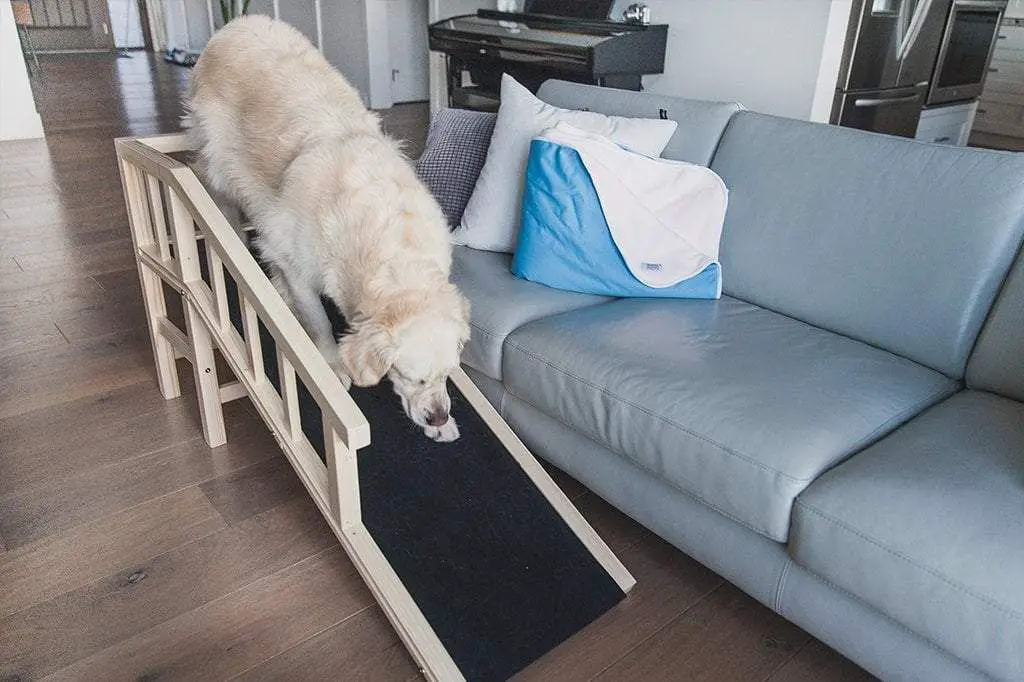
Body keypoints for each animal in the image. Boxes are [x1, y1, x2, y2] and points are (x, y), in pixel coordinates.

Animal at [187, 17, 468, 440]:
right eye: (409, 376)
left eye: (447, 375)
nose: (436, 416)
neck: (393, 255)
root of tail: (237, 22)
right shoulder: (295, 259)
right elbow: (317, 317)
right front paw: (333, 364)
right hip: (221, 163)